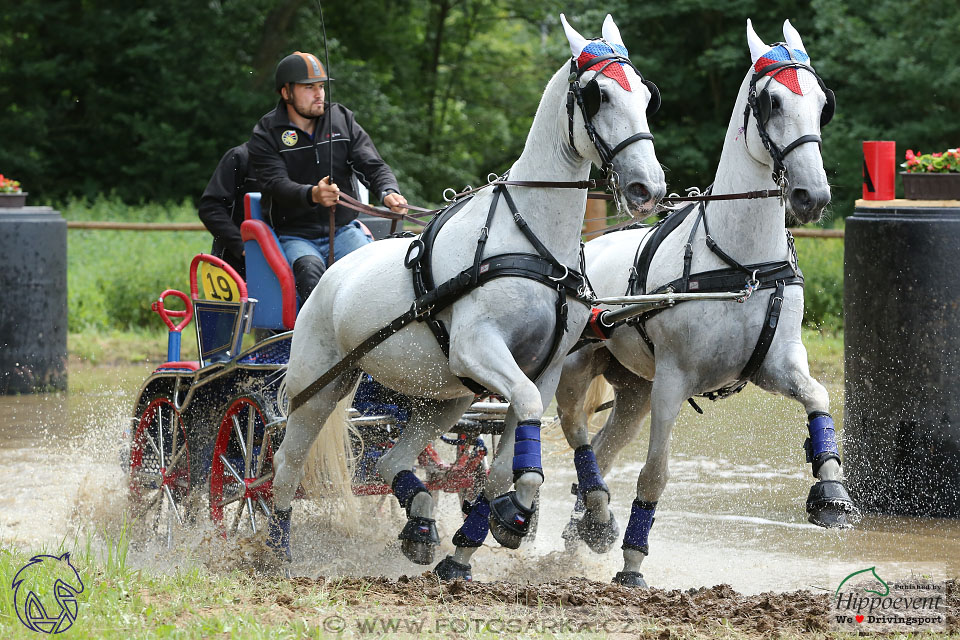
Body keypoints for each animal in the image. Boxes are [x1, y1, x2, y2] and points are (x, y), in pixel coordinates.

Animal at [266, 13, 664, 580]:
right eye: (598, 94)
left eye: (647, 96)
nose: (646, 188)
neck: (532, 241)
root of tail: (332, 270)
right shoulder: (479, 348)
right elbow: (521, 430)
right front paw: (510, 514)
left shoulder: (541, 371)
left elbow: (509, 462)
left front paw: (490, 529)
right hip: (319, 385)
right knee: (285, 466)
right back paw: (275, 553)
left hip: (444, 398)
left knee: (390, 461)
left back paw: (419, 525)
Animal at [552, 18, 860, 592]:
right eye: (772, 102)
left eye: (821, 103)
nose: (812, 196)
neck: (743, 263)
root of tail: (587, 249)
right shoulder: (674, 380)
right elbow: (655, 474)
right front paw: (633, 564)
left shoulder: (775, 365)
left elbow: (819, 396)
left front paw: (831, 495)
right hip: (583, 366)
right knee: (575, 430)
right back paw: (596, 521)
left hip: (634, 391)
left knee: (602, 448)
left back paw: (582, 527)